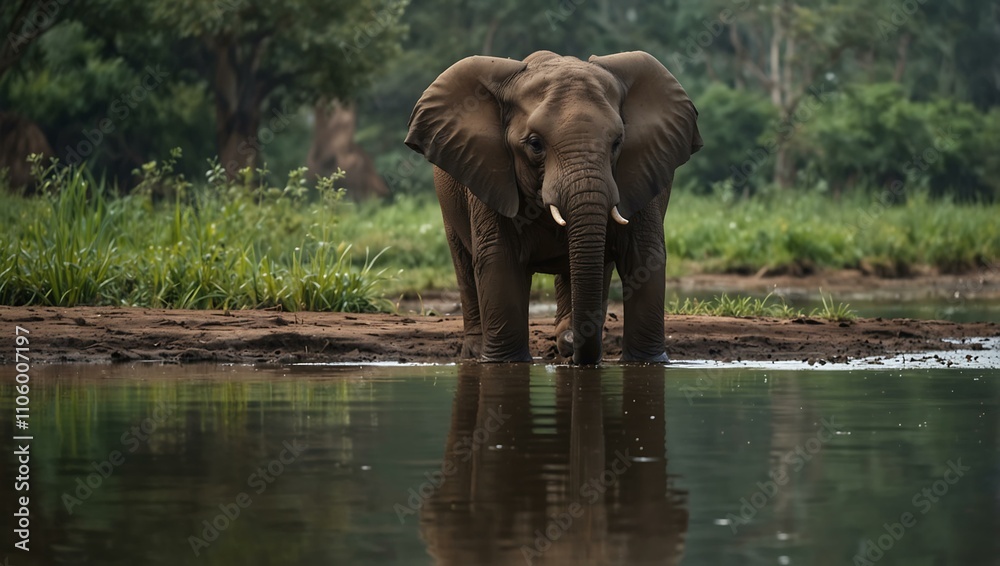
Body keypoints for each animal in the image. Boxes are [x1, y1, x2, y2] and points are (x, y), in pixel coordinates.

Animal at [405, 50, 702, 364]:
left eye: (618, 142)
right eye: (535, 144)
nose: (575, 346)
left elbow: (643, 257)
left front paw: (647, 361)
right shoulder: (490, 174)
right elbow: (499, 259)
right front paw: (504, 362)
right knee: (463, 260)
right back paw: (478, 351)